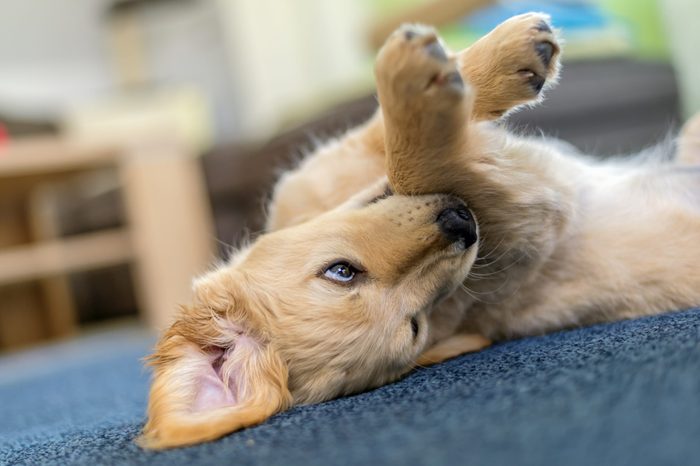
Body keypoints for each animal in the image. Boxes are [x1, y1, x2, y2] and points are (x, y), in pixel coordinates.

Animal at [141, 13, 700, 448]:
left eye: (340, 271)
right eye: (414, 327)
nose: (461, 223)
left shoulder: (318, 178)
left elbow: (386, 140)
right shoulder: (535, 215)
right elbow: (421, 160)